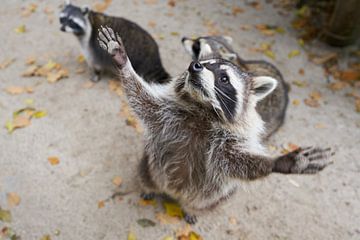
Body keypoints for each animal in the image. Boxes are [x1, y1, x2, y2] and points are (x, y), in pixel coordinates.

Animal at [97, 26, 332, 225]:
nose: (195, 66)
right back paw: (148, 186)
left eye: (223, 78)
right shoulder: (165, 114)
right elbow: (141, 100)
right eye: (206, 63)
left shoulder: (225, 142)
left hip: (212, 197)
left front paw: (280, 162)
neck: (202, 109)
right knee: (146, 169)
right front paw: (123, 62)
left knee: (217, 195)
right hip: (150, 166)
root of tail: (174, 193)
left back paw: (191, 208)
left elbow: (236, 162)